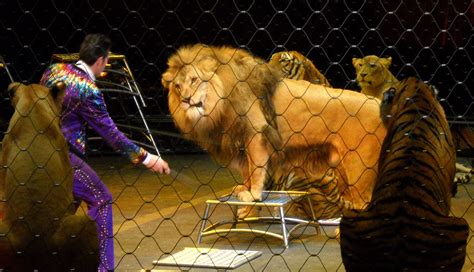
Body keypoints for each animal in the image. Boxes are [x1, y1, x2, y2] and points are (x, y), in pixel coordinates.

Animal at [161, 44, 386, 219]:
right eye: (177, 86)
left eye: (194, 80)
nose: (186, 100)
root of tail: (377, 102)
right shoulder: (240, 141)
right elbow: (247, 171)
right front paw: (245, 199)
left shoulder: (256, 133)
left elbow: (256, 170)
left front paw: (252, 197)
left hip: (359, 168)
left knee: (363, 204)